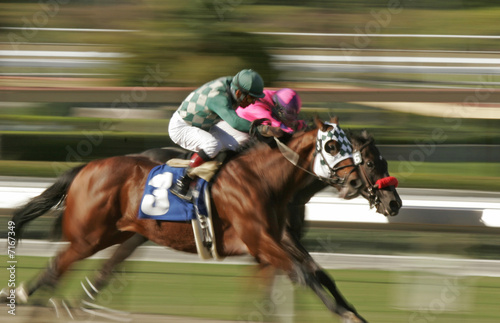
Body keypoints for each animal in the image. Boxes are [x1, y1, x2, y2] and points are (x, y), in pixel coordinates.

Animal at [1, 119, 370, 323]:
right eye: (332, 146)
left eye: (358, 151)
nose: (355, 183)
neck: (264, 178)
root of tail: (84, 168)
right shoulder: (260, 239)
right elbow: (302, 275)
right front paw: (345, 313)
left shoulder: (278, 238)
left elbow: (315, 273)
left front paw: (354, 311)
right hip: (88, 237)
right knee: (57, 269)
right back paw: (31, 301)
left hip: (109, 234)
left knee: (58, 270)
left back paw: (32, 299)